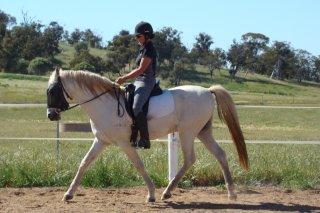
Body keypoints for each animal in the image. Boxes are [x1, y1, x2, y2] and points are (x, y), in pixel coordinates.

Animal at [46, 68, 249, 203]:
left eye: (53, 91)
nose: (51, 115)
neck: (105, 104)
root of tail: (207, 91)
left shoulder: (124, 143)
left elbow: (139, 165)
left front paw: (151, 194)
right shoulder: (101, 141)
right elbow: (84, 163)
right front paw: (68, 194)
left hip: (188, 132)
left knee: (190, 159)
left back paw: (167, 192)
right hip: (202, 132)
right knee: (220, 154)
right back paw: (231, 193)